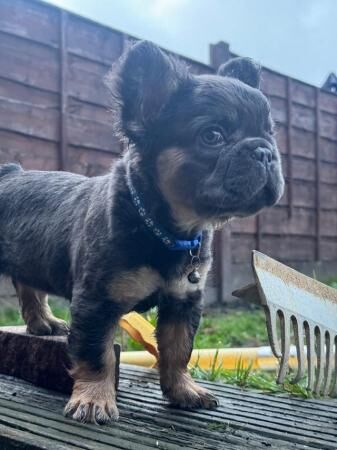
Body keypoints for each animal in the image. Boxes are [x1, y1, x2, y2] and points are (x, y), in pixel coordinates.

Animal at [0, 40, 284, 424]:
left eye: (270, 133)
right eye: (212, 136)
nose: (265, 151)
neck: (166, 228)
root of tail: (10, 174)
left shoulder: (183, 302)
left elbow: (179, 349)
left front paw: (182, 390)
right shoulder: (96, 301)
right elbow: (97, 353)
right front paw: (95, 399)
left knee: (28, 285)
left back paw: (43, 322)